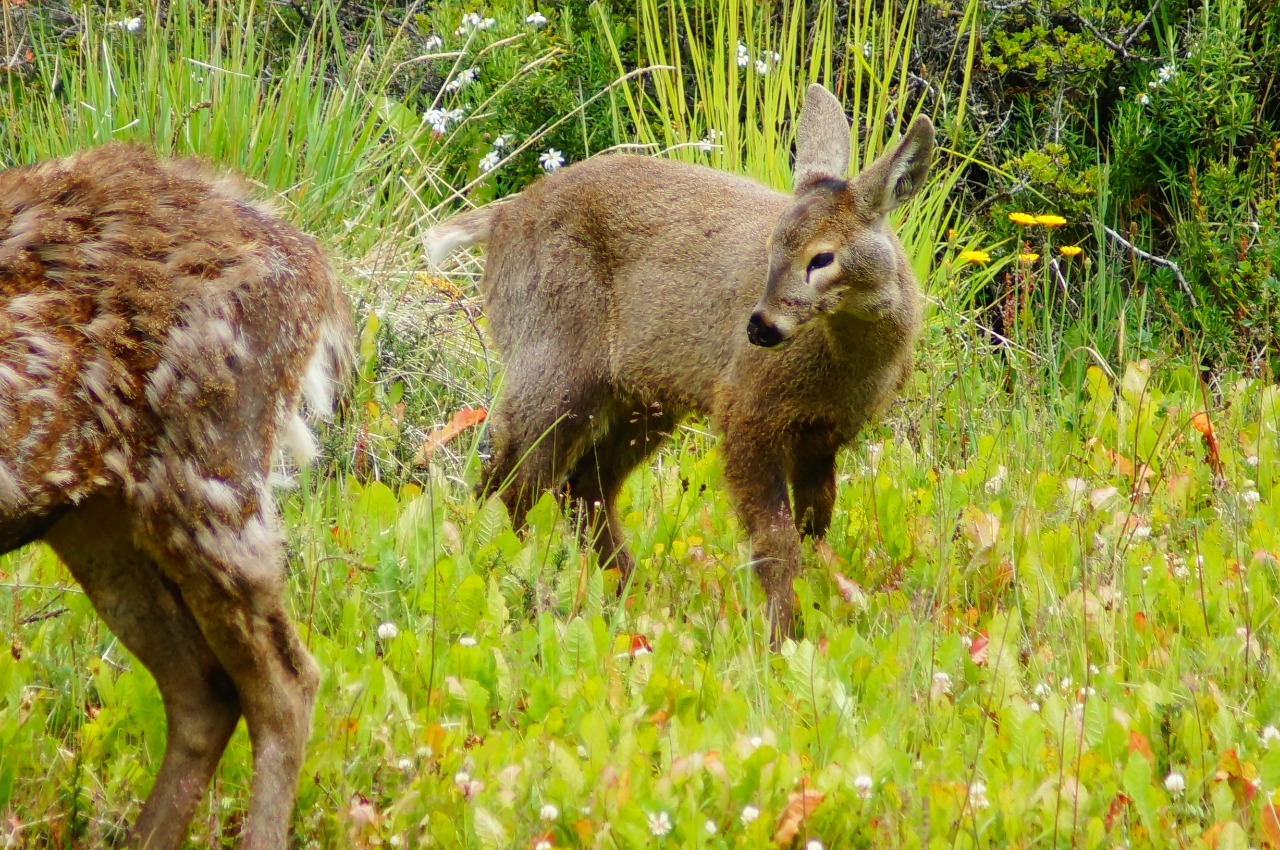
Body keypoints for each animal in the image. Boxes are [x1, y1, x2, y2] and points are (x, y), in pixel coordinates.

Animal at [424, 83, 936, 637]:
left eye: (822, 257)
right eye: (771, 247)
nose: (759, 326)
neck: (845, 369)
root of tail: (503, 219)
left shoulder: (826, 435)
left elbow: (815, 531)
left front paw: (815, 608)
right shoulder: (744, 409)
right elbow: (775, 540)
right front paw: (779, 634)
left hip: (642, 398)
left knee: (581, 487)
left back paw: (632, 596)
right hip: (551, 361)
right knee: (509, 484)